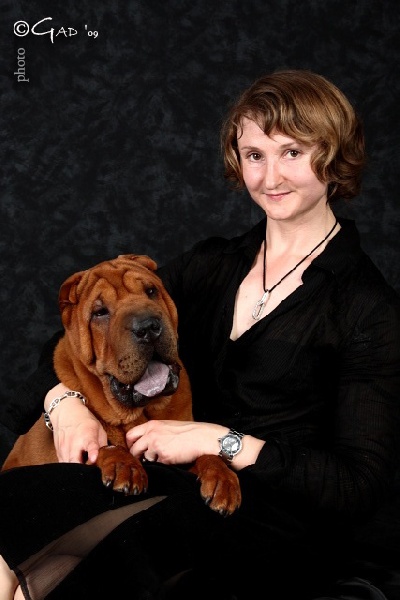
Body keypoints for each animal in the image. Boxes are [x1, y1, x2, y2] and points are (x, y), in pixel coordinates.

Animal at [2, 254, 241, 515]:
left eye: (151, 291)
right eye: (100, 312)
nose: (148, 327)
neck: (142, 413)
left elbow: (204, 452)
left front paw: (222, 477)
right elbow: (97, 446)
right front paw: (123, 464)